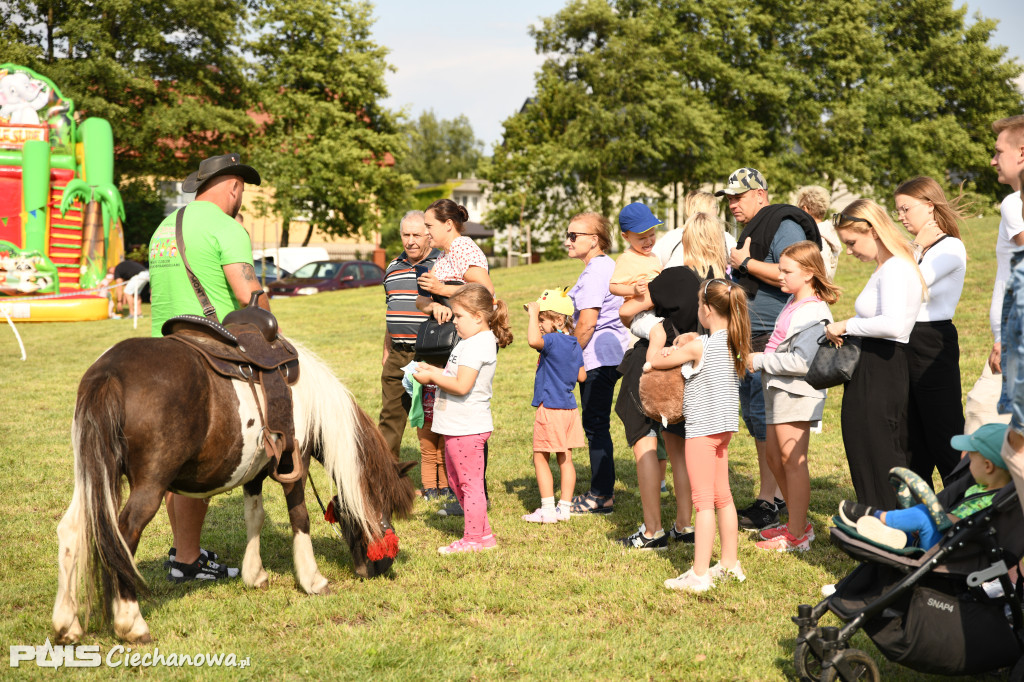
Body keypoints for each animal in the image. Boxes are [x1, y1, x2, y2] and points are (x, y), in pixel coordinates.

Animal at [49, 337, 417, 638]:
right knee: (123, 534)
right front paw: (313, 580)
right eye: (383, 505)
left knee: (73, 530)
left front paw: (255, 574)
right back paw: (130, 622)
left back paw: (67, 623)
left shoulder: (254, 471)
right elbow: (300, 519)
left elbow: (254, 517)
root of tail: (109, 372)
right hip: (149, 485)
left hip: (93, 474)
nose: (382, 567)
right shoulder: (293, 465)